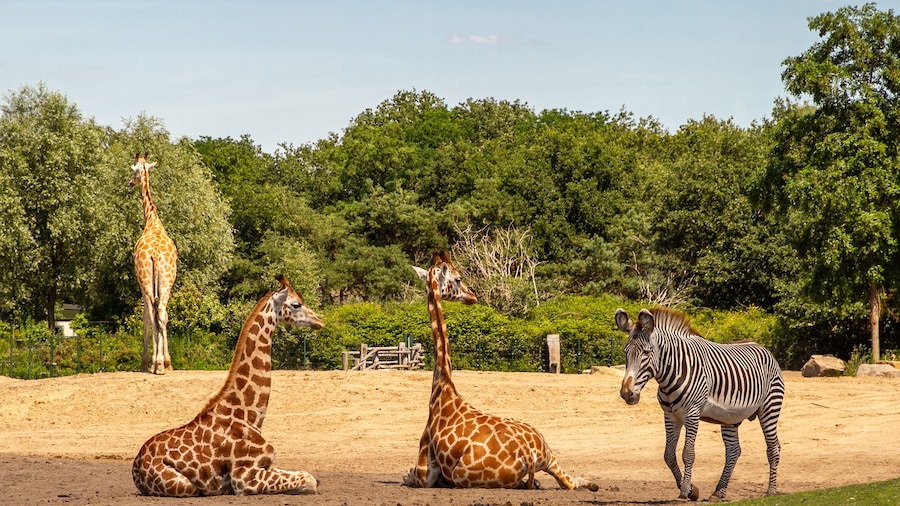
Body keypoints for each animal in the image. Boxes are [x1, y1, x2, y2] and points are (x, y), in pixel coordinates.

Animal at [132, 274, 325, 496]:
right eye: (296, 304)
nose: (320, 321)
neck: (249, 415)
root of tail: (136, 467)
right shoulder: (244, 477)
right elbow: (309, 480)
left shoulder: (266, 466)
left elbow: (310, 478)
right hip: (185, 485)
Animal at [403, 252, 598, 491]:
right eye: (458, 279)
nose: (472, 296)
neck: (443, 386)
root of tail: (528, 454)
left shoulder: (424, 472)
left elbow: (410, 475)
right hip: (549, 454)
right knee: (570, 483)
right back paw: (587, 484)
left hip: (461, 476)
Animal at [614, 307, 784, 501]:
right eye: (625, 352)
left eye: (646, 353)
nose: (627, 393)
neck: (671, 373)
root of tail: (763, 348)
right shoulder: (670, 416)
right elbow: (669, 455)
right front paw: (691, 490)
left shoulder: (692, 413)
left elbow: (688, 454)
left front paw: (684, 492)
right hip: (730, 417)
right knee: (733, 451)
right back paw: (719, 492)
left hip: (770, 407)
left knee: (773, 448)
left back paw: (771, 491)